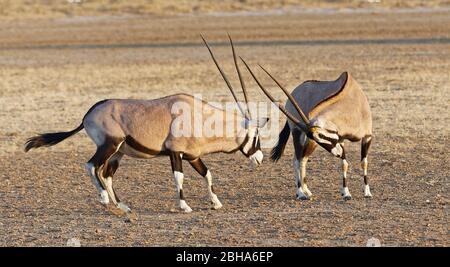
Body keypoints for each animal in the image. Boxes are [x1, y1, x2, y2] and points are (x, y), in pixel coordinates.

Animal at [23, 36, 268, 216]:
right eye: (256, 135)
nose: (259, 158)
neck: (199, 115)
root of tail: (88, 113)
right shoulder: (176, 152)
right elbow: (179, 177)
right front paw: (184, 206)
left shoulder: (193, 156)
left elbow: (208, 175)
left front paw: (216, 203)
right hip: (110, 145)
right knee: (92, 165)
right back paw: (104, 199)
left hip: (119, 152)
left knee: (107, 174)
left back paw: (123, 206)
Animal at [241, 58, 374, 201]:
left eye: (322, 135)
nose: (338, 153)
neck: (352, 104)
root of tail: (296, 91)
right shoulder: (340, 139)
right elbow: (345, 164)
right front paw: (346, 193)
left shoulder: (363, 137)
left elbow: (362, 163)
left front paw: (366, 192)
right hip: (298, 134)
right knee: (297, 160)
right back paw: (300, 193)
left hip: (309, 142)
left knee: (303, 159)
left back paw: (306, 190)